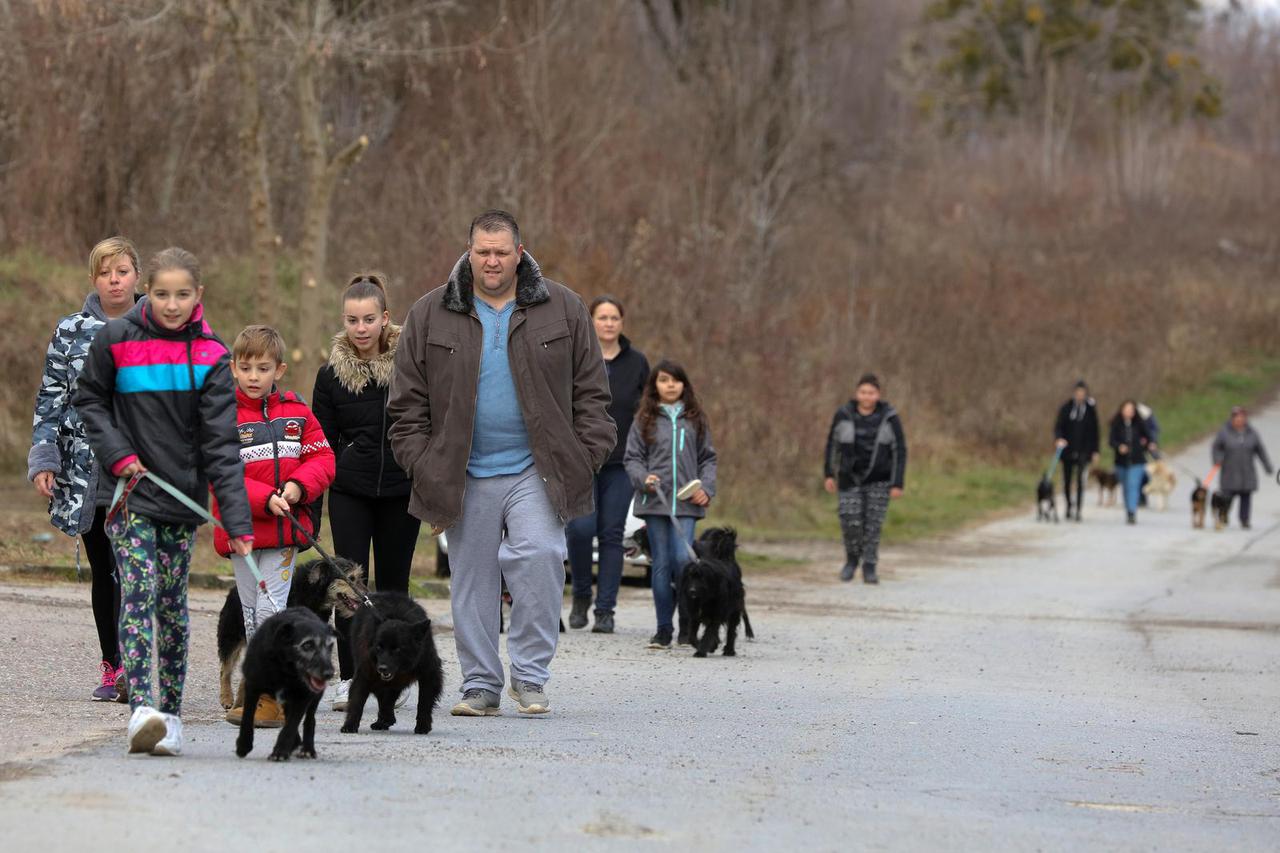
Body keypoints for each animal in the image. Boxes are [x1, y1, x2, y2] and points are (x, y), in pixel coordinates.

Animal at [217, 555, 368, 706]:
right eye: (351, 578)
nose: (366, 595)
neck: (308, 596)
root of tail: (233, 589)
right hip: (231, 635)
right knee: (226, 668)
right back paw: (227, 698)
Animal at [234, 604, 335, 758]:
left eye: (330, 646)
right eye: (307, 645)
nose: (329, 673)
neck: (284, 669)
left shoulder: (303, 696)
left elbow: (291, 725)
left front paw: (280, 750)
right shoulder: (252, 686)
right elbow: (247, 717)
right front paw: (243, 744)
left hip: (313, 697)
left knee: (309, 719)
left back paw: (307, 748)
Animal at [340, 589, 445, 732]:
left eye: (397, 649)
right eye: (379, 647)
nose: (382, 668)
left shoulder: (429, 672)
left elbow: (424, 702)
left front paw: (423, 726)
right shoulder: (366, 672)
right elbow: (357, 701)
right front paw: (350, 725)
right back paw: (384, 720)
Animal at [675, 525, 752, 655]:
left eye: (702, 578)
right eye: (690, 576)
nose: (692, 591)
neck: (703, 598)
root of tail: (728, 560)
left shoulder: (716, 615)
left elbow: (709, 633)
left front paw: (701, 651)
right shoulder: (695, 616)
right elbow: (692, 636)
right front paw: (704, 646)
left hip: (735, 608)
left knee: (731, 630)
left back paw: (729, 650)